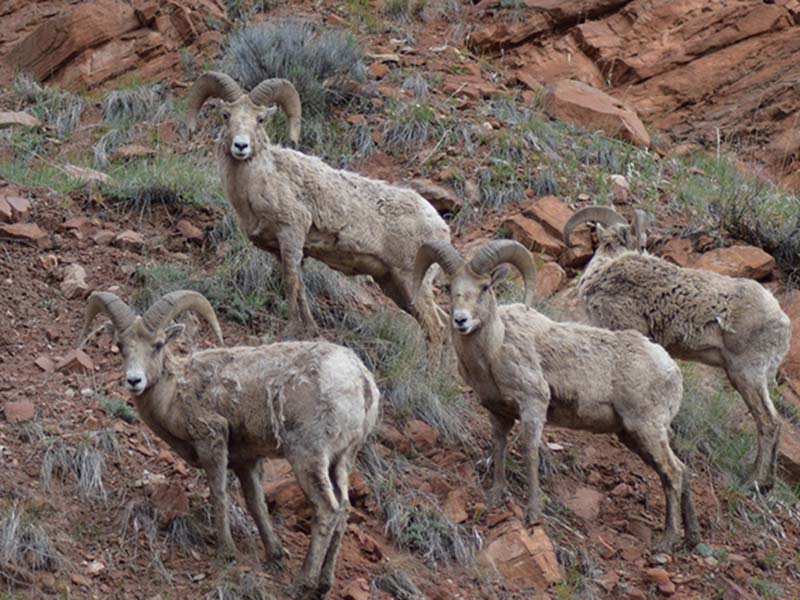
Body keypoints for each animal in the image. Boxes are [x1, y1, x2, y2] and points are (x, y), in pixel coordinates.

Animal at [79, 290, 380, 596]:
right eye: (120, 345)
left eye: (158, 344)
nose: (134, 380)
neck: (175, 393)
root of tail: (362, 381)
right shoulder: (246, 462)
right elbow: (256, 504)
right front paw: (274, 556)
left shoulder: (211, 440)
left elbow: (219, 494)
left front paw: (227, 553)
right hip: (341, 460)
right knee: (343, 509)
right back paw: (323, 584)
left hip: (308, 456)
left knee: (327, 509)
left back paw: (302, 584)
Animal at [186, 71, 450, 342]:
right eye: (226, 115)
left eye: (260, 119)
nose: (241, 146)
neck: (260, 184)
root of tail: (441, 227)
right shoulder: (286, 249)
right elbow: (301, 289)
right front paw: (311, 331)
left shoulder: (291, 234)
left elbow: (290, 284)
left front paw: (290, 332)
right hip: (393, 285)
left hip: (411, 280)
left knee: (436, 328)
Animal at [412, 240, 700, 552]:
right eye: (449, 286)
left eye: (485, 286)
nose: (461, 320)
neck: (494, 350)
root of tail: (671, 369)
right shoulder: (499, 413)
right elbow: (498, 448)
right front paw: (496, 495)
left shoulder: (533, 405)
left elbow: (530, 453)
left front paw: (533, 515)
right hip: (633, 435)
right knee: (680, 471)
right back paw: (692, 539)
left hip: (646, 429)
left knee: (672, 473)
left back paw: (666, 542)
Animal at [564, 205, 792, 488]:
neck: (605, 270)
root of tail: (783, 322)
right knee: (774, 422)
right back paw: (766, 484)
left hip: (746, 374)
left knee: (768, 421)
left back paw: (752, 482)